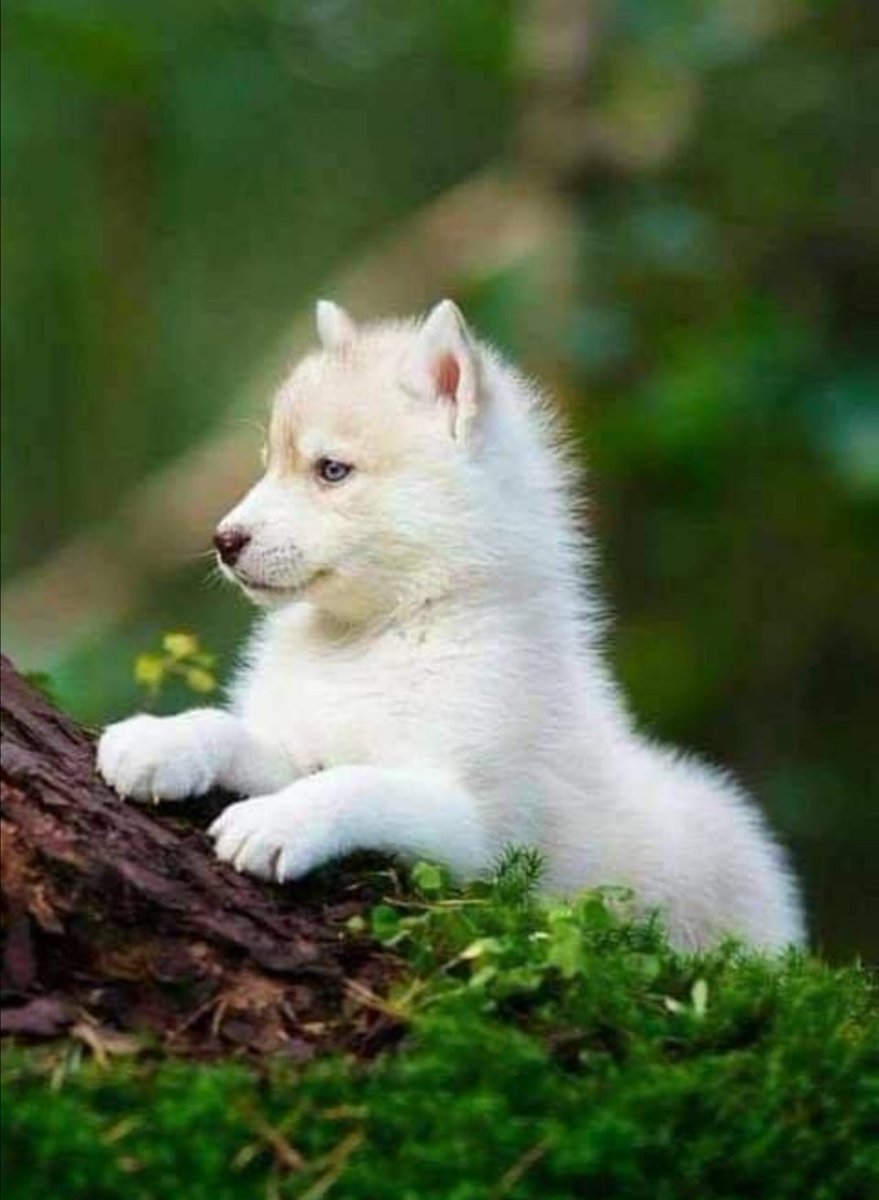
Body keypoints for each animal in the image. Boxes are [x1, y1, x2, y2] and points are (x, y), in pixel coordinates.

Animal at [98, 299, 804, 950]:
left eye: (331, 470)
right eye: (269, 461)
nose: (224, 540)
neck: (384, 630)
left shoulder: (482, 833)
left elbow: (360, 783)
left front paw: (279, 822)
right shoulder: (305, 747)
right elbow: (235, 730)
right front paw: (161, 740)